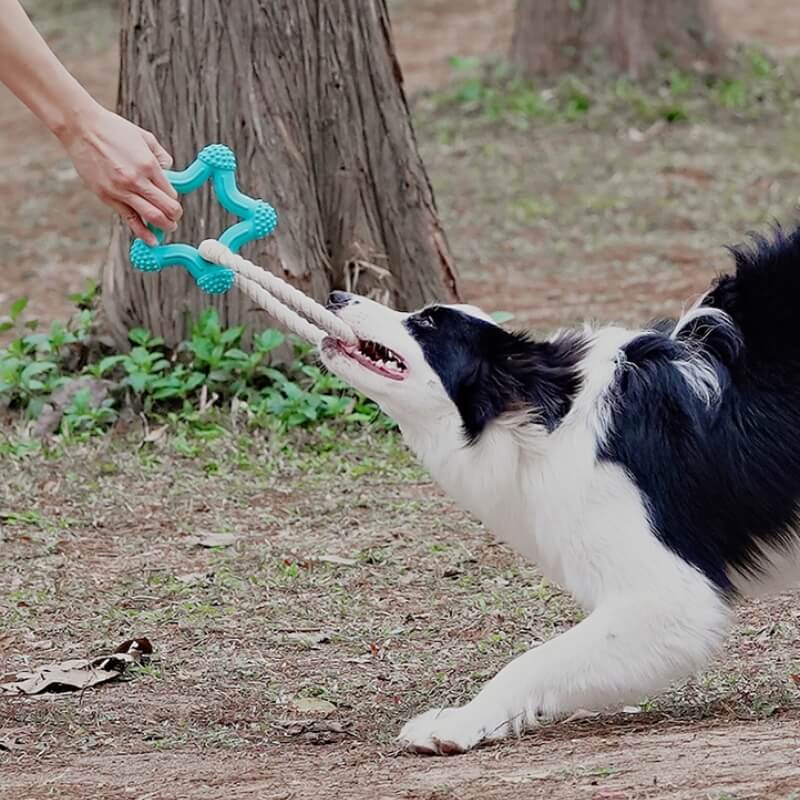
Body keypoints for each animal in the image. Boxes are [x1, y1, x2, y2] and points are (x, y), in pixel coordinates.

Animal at [318, 227, 800, 756]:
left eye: (425, 321)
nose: (336, 295)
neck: (543, 420)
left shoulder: (671, 596)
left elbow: (531, 660)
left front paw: (461, 722)